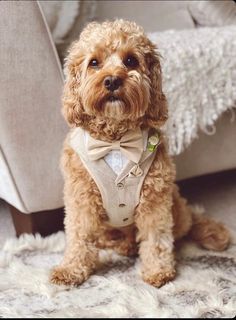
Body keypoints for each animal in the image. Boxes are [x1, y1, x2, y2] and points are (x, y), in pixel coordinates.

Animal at [50, 19, 230, 288]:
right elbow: (79, 236)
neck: (116, 142)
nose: (112, 81)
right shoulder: (81, 199)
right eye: (94, 62)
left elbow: (156, 237)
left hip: (174, 204)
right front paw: (71, 269)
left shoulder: (155, 201)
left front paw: (158, 271)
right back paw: (120, 245)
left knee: (187, 223)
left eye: (131, 61)